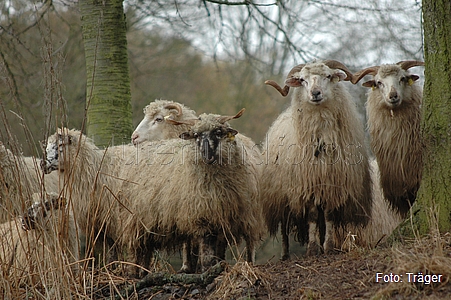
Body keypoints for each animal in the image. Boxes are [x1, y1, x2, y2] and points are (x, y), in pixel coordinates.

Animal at [120, 109, 264, 272]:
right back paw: (135, 272)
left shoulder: (225, 215)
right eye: (195, 135)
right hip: (136, 221)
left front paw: (215, 266)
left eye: (218, 132)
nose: (206, 155)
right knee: (137, 251)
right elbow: (206, 248)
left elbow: (218, 248)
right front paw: (206, 269)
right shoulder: (202, 215)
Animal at [262, 60, 374, 258]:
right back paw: (285, 254)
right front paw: (313, 249)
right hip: (281, 196)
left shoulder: (332, 184)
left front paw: (328, 246)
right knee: (284, 227)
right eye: (302, 80)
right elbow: (313, 215)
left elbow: (328, 215)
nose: (315, 93)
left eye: (328, 76)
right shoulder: (308, 185)